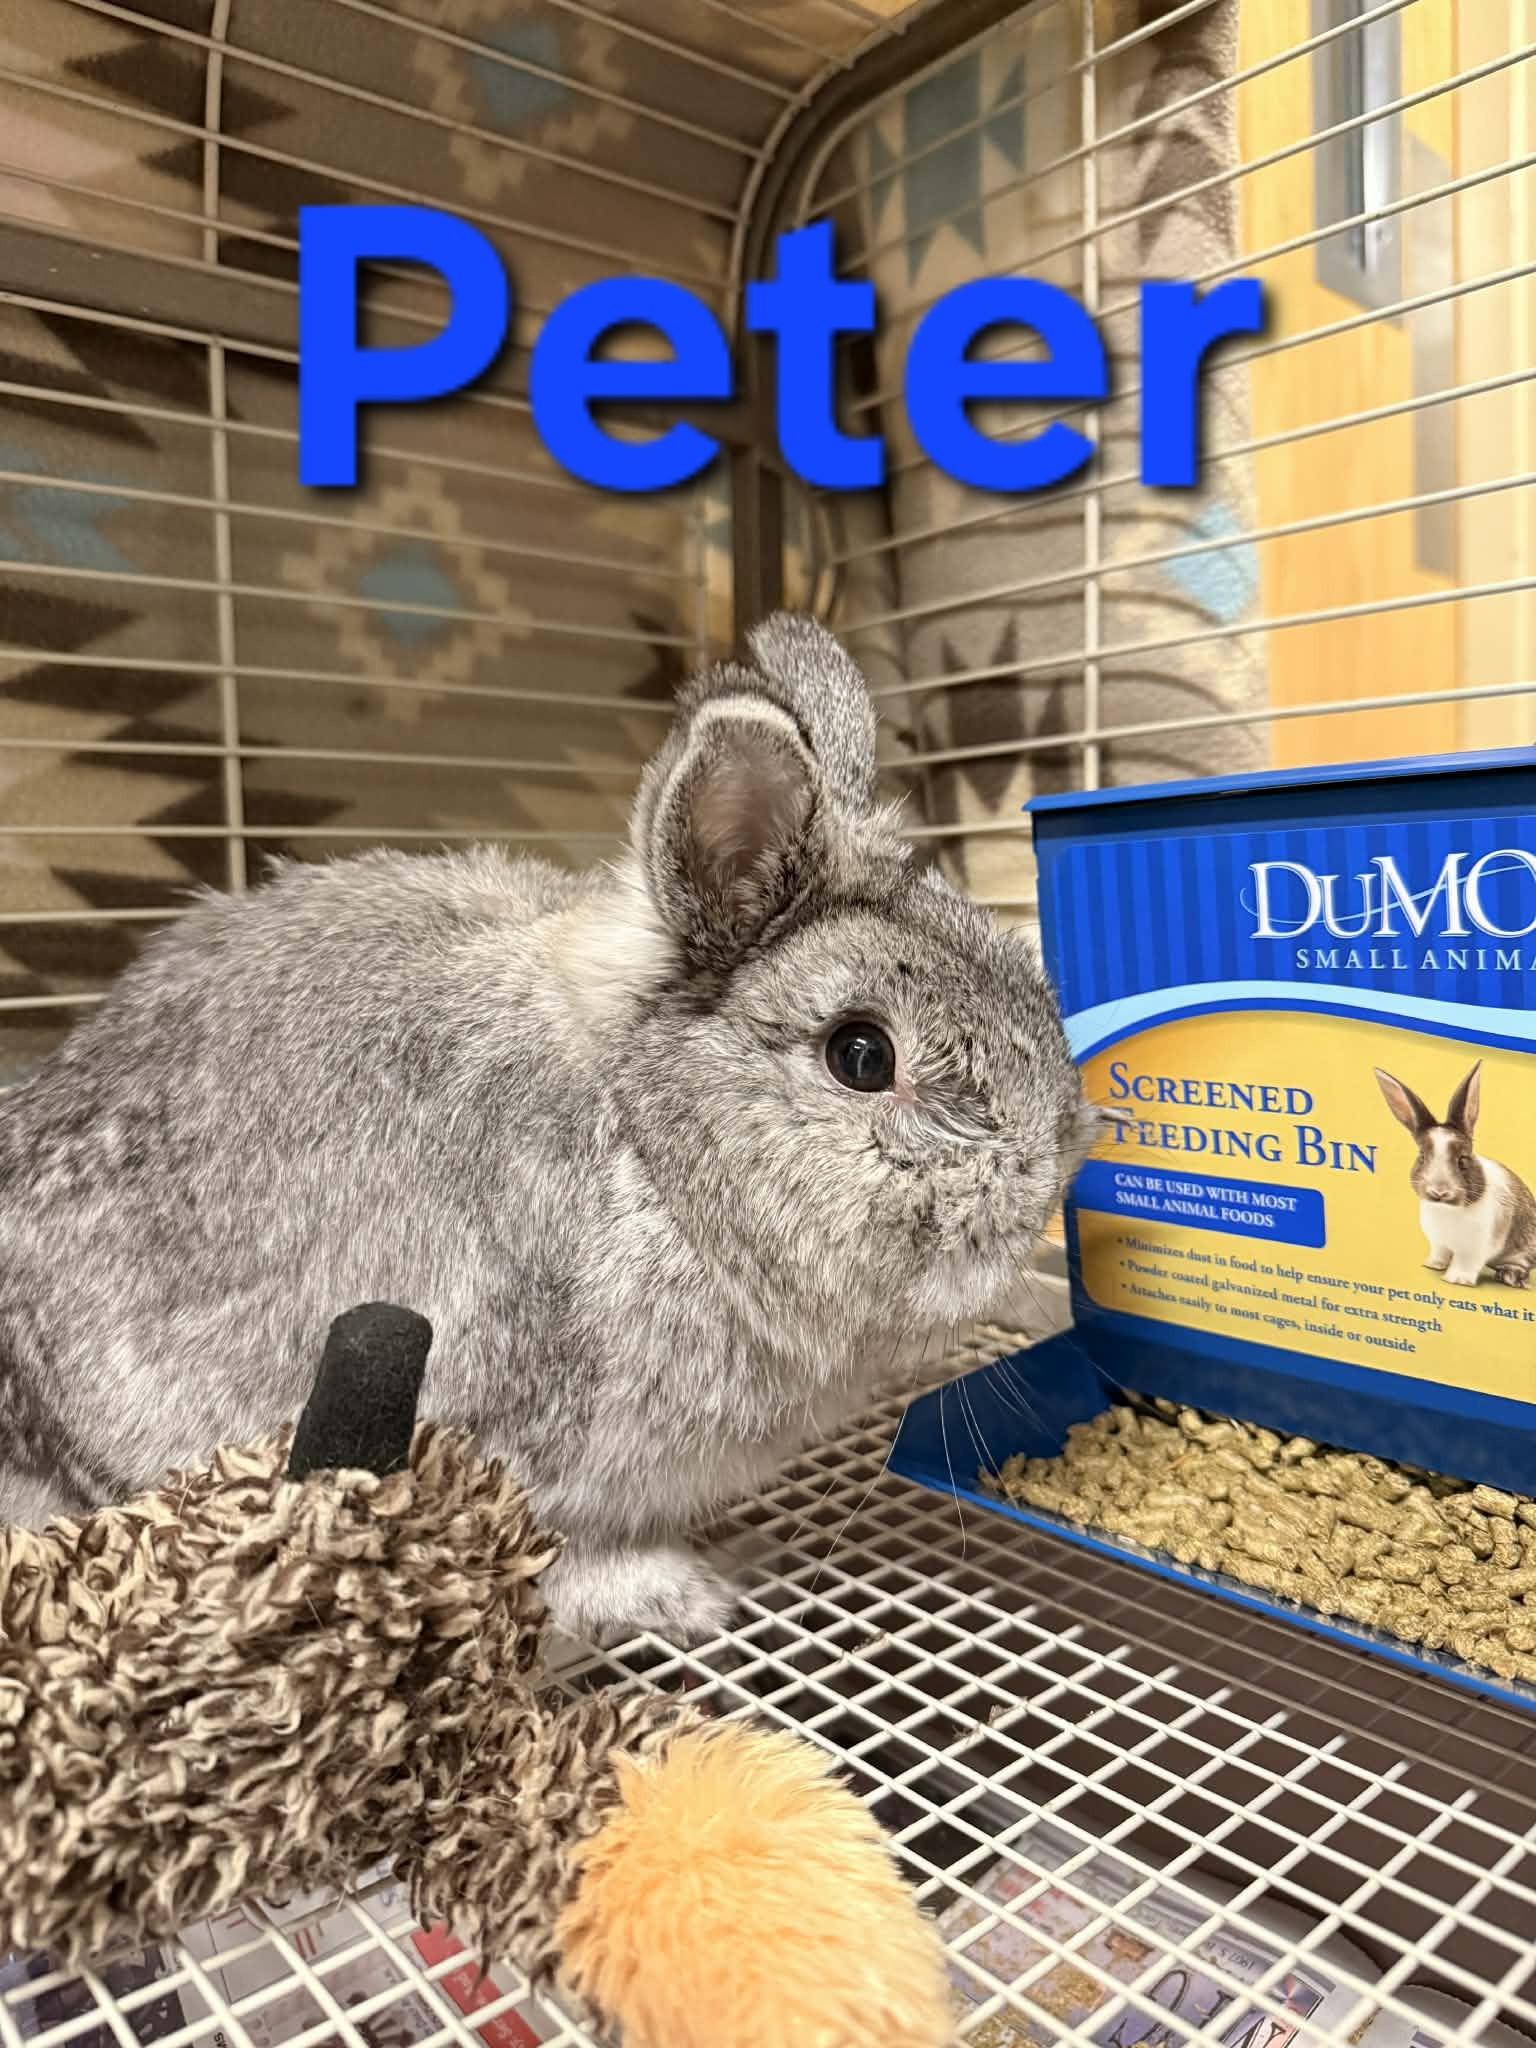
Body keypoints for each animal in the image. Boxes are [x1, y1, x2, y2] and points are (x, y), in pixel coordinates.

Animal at [1374, 1061, 1536, 1289]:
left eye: (1463, 1160)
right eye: (1422, 1157)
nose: (1439, 1192)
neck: (1446, 1210)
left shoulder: (1475, 1247)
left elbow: (1465, 1263)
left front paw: (1457, 1280)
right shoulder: (1438, 1242)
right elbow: (1440, 1253)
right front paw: (1433, 1265)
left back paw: (1509, 1276)